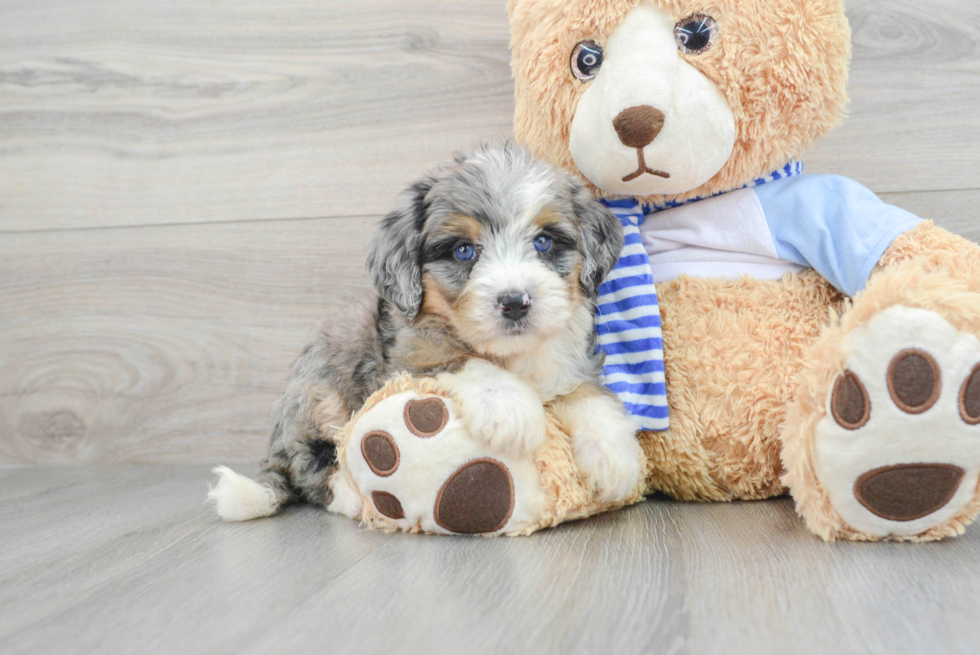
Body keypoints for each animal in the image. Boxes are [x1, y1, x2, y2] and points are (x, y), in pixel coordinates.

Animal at [211, 145, 648, 524]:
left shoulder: (569, 364)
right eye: (463, 251)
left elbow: (588, 395)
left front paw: (616, 458)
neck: (509, 353)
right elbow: (461, 360)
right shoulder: (407, 358)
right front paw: (510, 408)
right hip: (317, 395)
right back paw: (352, 497)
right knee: (314, 465)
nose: (515, 302)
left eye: (544, 241)